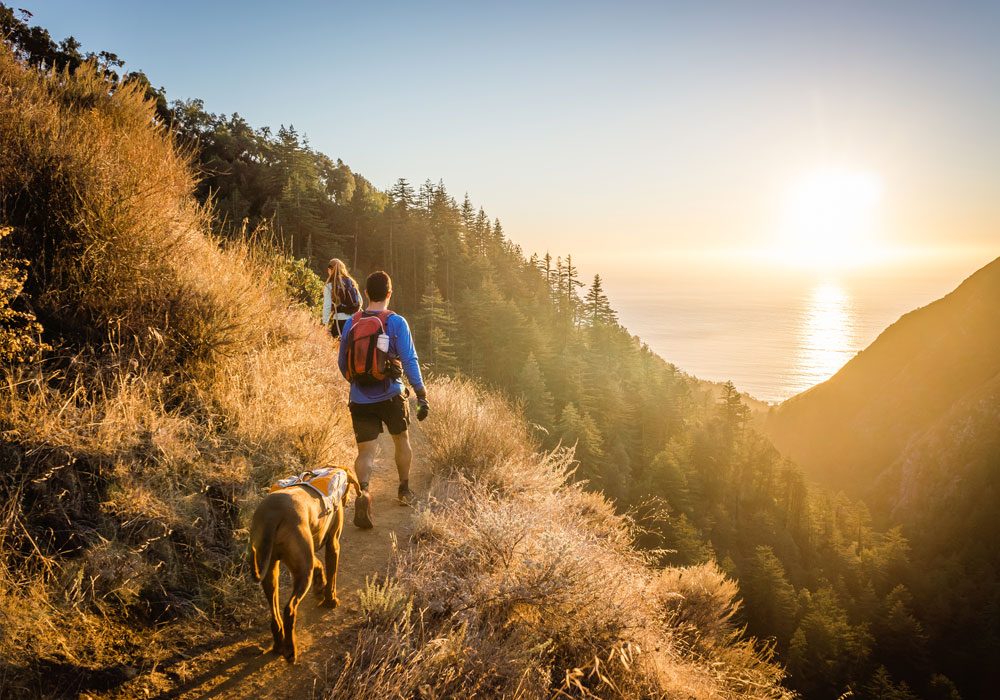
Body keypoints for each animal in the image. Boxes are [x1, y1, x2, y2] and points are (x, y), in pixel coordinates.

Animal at [249, 468, 360, 664]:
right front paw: (330, 600)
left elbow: (318, 563)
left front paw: (320, 585)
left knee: (275, 613)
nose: (346, 500)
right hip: (302, 572)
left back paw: (278, 644)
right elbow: (332, 575)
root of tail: (272, 514)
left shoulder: (307, 552)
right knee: (289, 609)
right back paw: (290, 650)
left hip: (272, 569)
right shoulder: (333, 544)